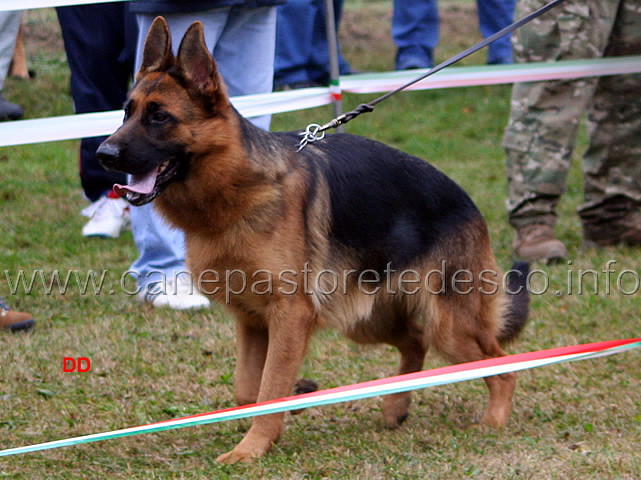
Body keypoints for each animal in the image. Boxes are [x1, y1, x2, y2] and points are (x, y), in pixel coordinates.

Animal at [97, 16, 528, 464]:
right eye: (126, 112)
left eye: (160, 117)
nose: (102, 154)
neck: (238, 191)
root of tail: (468, 203)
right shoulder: (252, 321)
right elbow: (248, 388)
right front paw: (291, 402)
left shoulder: (289, 316)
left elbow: (268, 385)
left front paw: (251, 448)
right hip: (365, 320)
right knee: (415, 340)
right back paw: (396, 406)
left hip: (449, 326)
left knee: (502, 365)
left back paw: (493, 421)